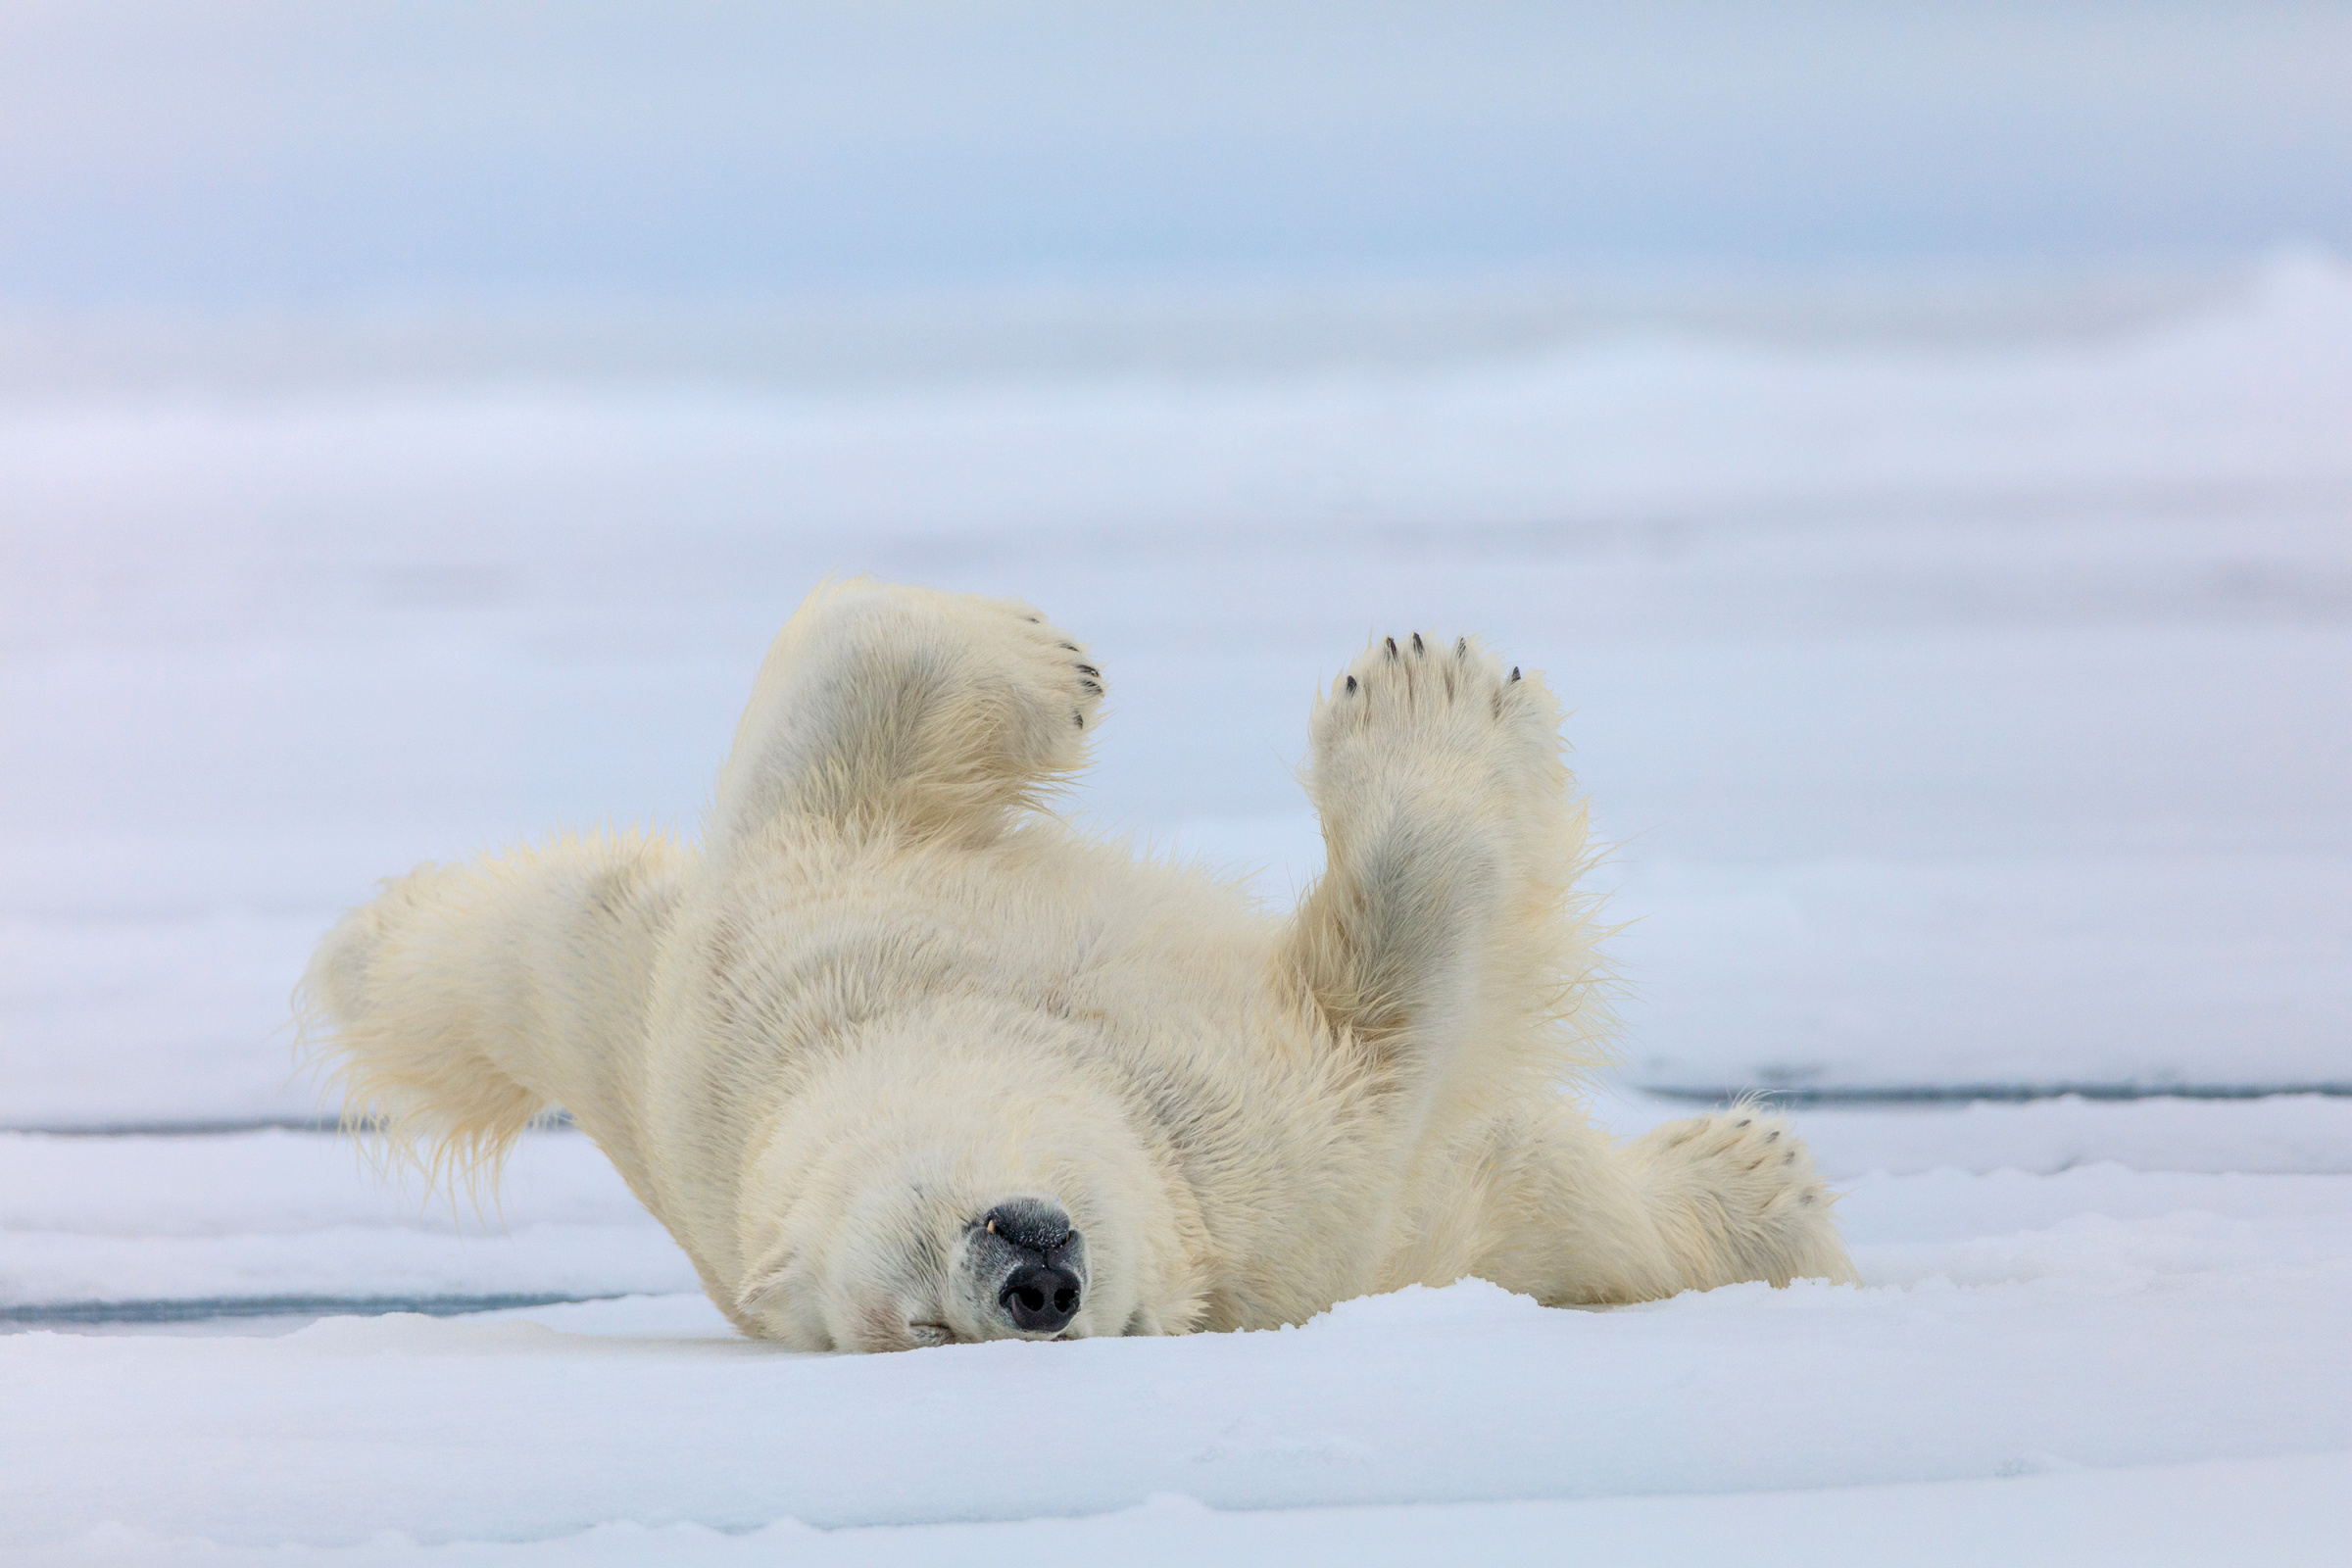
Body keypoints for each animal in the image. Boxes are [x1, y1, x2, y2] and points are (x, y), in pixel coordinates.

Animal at [298, 575, 1853, 1353]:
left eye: (935, 1289)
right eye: (923, 1328)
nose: (1032, 1285)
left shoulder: (770, 961)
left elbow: (850, 684)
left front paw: (1054, 662)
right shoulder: (1270, 1173)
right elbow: (1395, 1009)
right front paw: (1435, 704)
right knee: (1561, 1207)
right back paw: (1760, 1177)